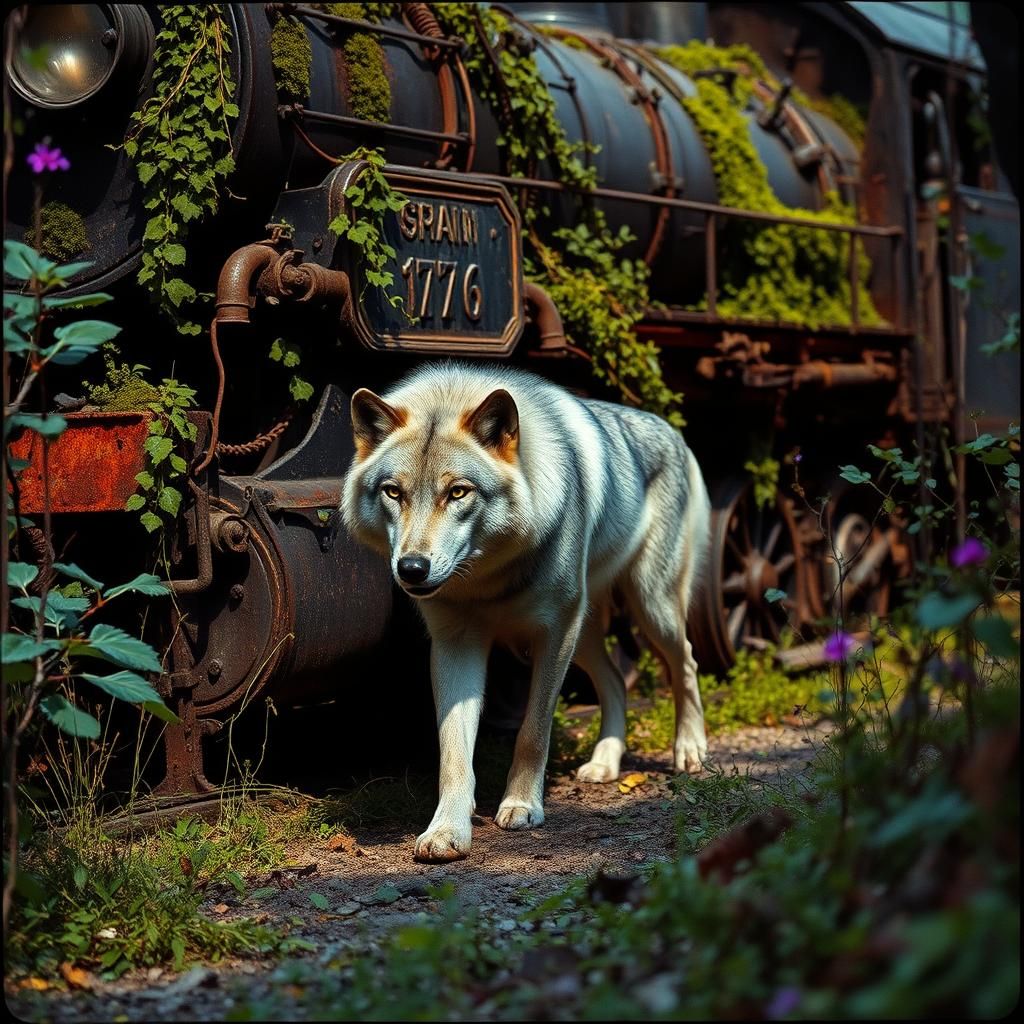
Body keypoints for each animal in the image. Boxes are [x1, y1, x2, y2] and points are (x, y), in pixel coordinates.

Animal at [341, 362, 710, 862]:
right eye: (393, 492)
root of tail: (671, 429)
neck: (485, 580)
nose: (412, 568)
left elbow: (532, 732)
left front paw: (520, 805)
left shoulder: (553, 635)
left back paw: (689, 750)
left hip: (648, 608)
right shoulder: (455, 645)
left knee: (686, 662)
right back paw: (605, 763)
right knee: (616, 680)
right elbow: (453, 754)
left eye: (458, 492)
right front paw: (447, 830)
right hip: (587, 634)